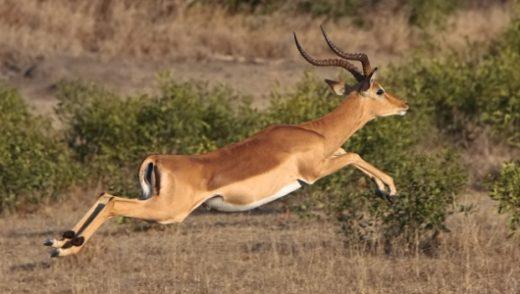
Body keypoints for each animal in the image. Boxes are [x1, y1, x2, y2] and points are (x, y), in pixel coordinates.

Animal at [44, 27, 408, 258]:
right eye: (379, 90)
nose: (404, 105)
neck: (315, 132)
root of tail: (157, 159)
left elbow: (351, 153)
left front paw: (384, 190)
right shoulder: (314, 171)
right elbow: (354, 154)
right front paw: (389, 189)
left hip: (151, 200)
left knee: (105, 194)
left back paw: (58, 241)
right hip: (167, 211)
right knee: (114, 203)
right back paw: (67, 249)